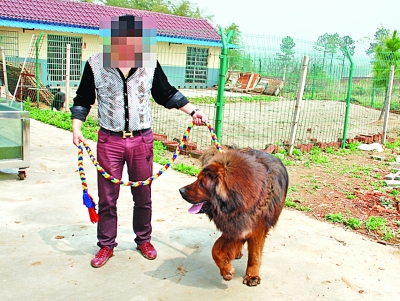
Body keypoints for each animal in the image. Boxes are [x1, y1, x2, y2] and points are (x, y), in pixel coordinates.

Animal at [180, 146, 290, 284]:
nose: (180, 190)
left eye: (201, 184)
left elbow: (254, 255)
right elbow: (215, 250)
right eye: (197, 179)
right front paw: (227, 270)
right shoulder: (233, 227)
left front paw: (252, 275)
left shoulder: (256, 229)